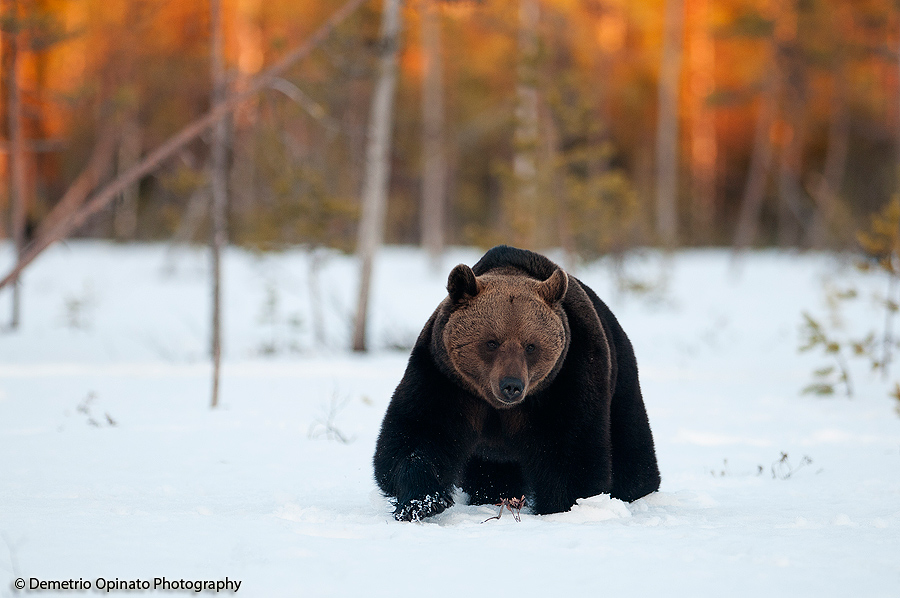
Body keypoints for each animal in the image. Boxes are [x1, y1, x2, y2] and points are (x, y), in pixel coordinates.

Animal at [373, 245, 660, 521]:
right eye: (491, 342)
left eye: (531, 345)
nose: (511, 385)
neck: (497, 407)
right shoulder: (445, 378)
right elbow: (418, 435)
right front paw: (420, 503)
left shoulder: (566, 381)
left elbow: (571, 450)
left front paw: (563, 507)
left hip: (619, 378)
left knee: (631, 442)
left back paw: (638, 490)